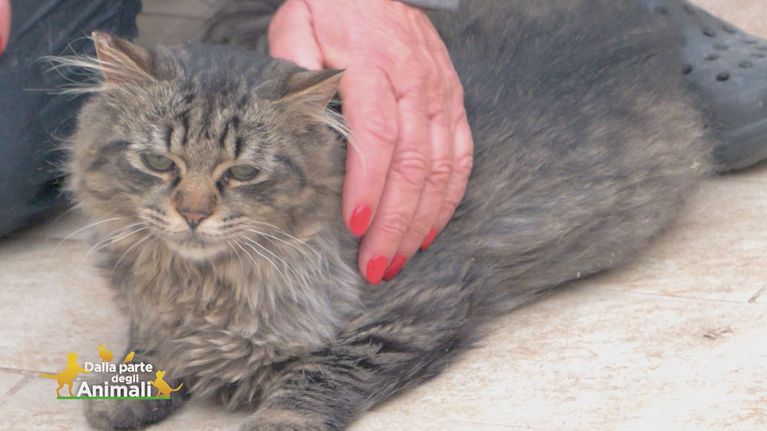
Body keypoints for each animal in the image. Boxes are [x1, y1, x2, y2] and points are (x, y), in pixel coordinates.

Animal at [62, 0, 713, 429]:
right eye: (158, 163)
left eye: (242, 173)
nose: (193, 214)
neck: (205, 285)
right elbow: (148, 347)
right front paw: (124, 391)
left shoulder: (415, 304)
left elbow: (319, 375)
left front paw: (276, 419)